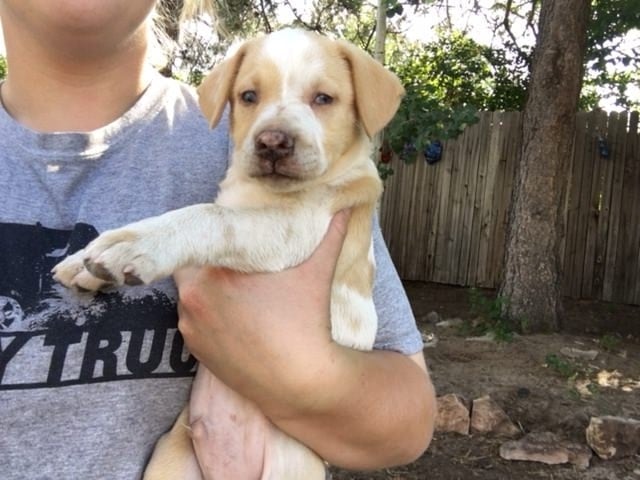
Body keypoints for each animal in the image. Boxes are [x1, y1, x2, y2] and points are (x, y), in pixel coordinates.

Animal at [56, 29, 404, 480]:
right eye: (249, 96)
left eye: (324, 98)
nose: (272, 142)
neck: (262, 193)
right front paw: (86, 261)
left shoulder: (291, 231)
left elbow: (209, 217)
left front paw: (135, 245)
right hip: (170, 460)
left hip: (288, 469)